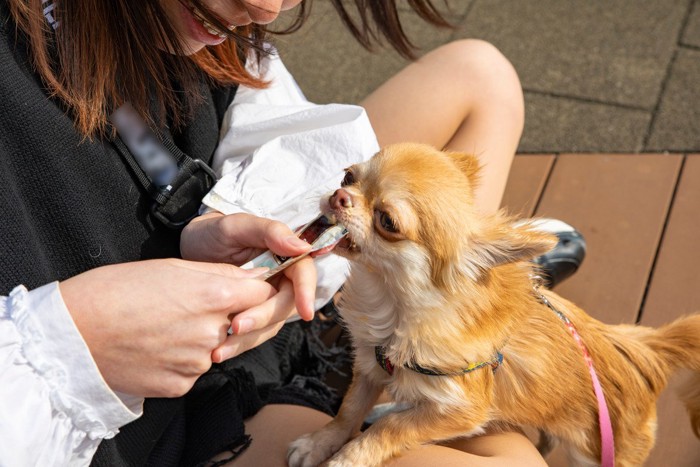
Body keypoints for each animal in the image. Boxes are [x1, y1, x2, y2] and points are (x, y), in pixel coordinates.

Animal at [286, 144, 700, 467]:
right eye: (347, 177)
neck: (393, 303)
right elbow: (349, 410)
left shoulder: (465, 411)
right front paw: (319, 443)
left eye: (387, 220)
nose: (338, 197)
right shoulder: (371, 367)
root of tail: (645, 351)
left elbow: (393, 429)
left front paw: (349, 457)